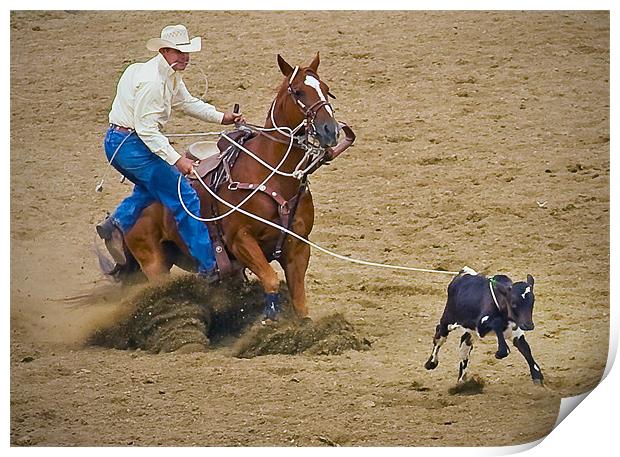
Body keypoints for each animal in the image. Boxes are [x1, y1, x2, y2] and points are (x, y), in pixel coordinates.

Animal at [112, 52, 344, 318]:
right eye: (298, 91)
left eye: (326, 89)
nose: (330, 130)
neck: (271, 175)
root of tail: (124, 210)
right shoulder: (240, 240)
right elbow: (271, 280)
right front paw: (271, 320)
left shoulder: (298, 246)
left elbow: (299, 301)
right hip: (153, 262)